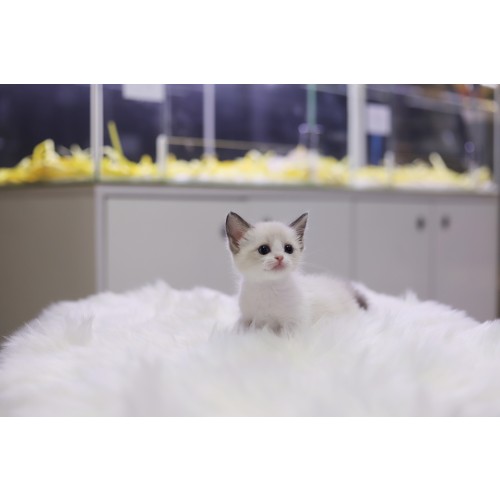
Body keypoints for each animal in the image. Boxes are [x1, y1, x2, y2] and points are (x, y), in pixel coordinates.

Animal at [225, 211, 368, 334]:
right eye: (264, 249)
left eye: (288, 248)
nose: (280, 257)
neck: (268, 287)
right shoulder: (247, 318)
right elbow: (239, 326)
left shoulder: (294, 323)